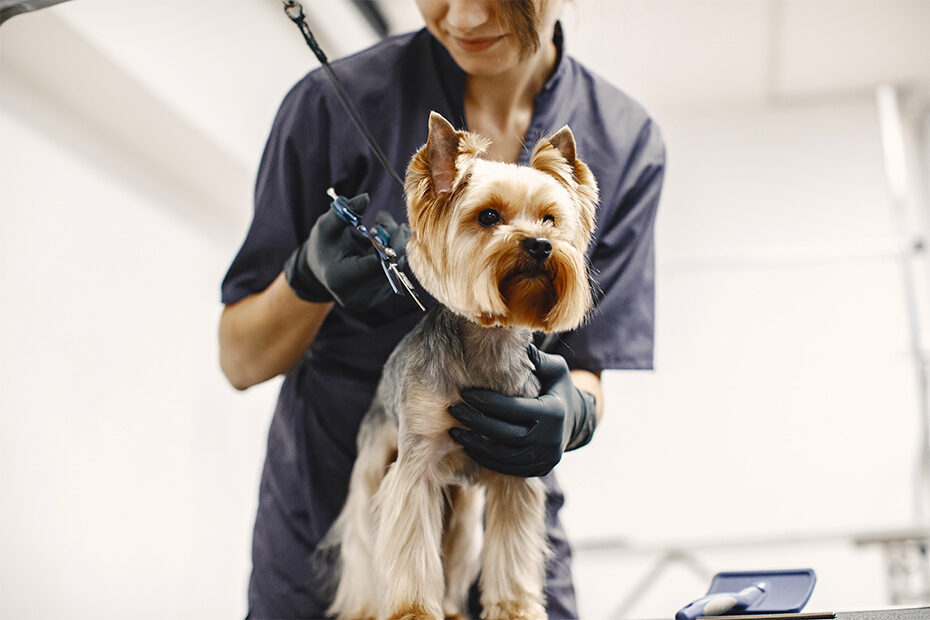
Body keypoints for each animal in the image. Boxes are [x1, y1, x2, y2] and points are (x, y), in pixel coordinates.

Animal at [320, 111, 596, 620]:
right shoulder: (416, 467)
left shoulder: (515, 471)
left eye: (550, 219)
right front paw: (412, 610)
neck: (488, 341)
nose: (540, 245)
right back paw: (368, 606)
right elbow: (411, 542)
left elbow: (512, 546)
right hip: (371, 473)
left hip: (463, 511)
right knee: (365, 547)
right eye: (488, 216)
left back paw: (450, 607)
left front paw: (514, 607)